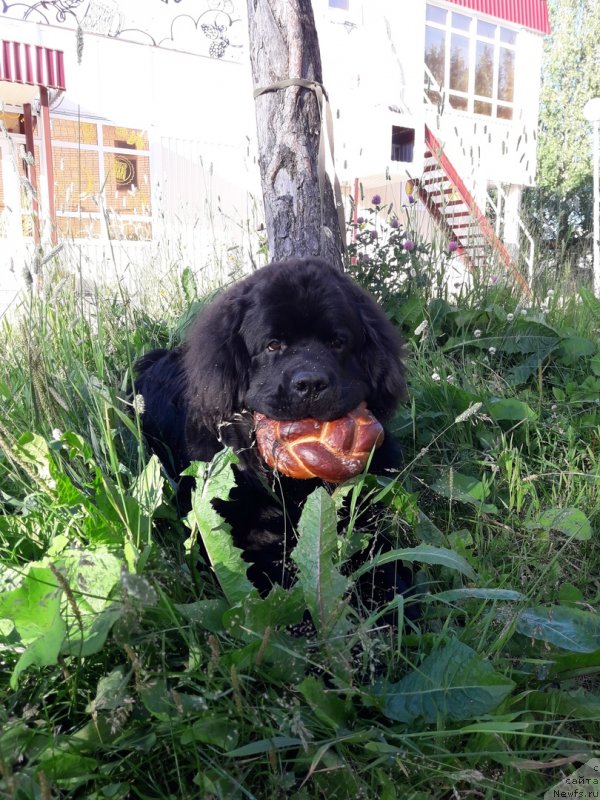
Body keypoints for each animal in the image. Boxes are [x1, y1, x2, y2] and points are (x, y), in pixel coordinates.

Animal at [134, 260, 410, 604]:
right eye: (273, 345)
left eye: (337, 342)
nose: (310, 383)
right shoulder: (248, 536)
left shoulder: (368, 512)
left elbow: (383, 560)